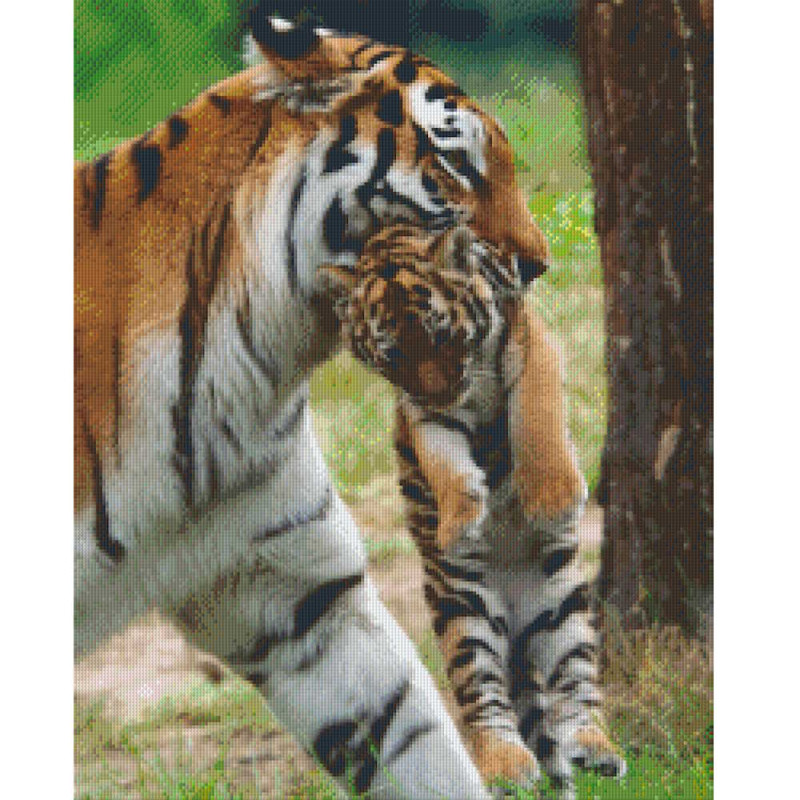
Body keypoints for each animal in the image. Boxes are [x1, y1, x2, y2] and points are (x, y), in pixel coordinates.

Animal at [323, 223, 627, 796]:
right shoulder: (419, 409)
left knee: (578, 689)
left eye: (442, 335)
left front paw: (553, 498)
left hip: (563, 603)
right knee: (484, 701)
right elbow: (442, 458)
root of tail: (517, 618)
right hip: (465, 614)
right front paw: (460, 522)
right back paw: (507, 766)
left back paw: (597, 748)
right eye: (393, 355)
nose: (443, 392)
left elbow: (536, 415)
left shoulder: (528, 340)